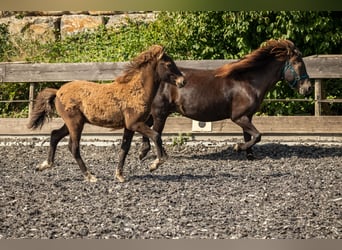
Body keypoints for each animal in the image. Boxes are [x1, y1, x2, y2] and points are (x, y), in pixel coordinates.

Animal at [27, 44, 184, 182]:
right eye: (168, 64)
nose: (182, 81)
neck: (136, 91)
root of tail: (58, 91)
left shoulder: (129, 126)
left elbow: (124, 149)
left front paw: (119, 175)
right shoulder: (135, 124)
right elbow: (156, 136)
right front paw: (155, 164)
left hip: (72, 123)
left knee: (54, 135)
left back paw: (44, 165)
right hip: (75, 123)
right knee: (73, 147)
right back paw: (89, 176)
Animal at [139, 39, 312, 160]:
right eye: (297, 63)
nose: (308, 88)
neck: (248, 82)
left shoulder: (247, 116)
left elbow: (249, 136)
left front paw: (250, 155)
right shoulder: (238, 117)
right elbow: (257, 135)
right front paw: (238, 147)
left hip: (157, 113)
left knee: (146, 127)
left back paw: (143, 152)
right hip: (160, 113)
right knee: (155, 132)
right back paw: (160, 155)